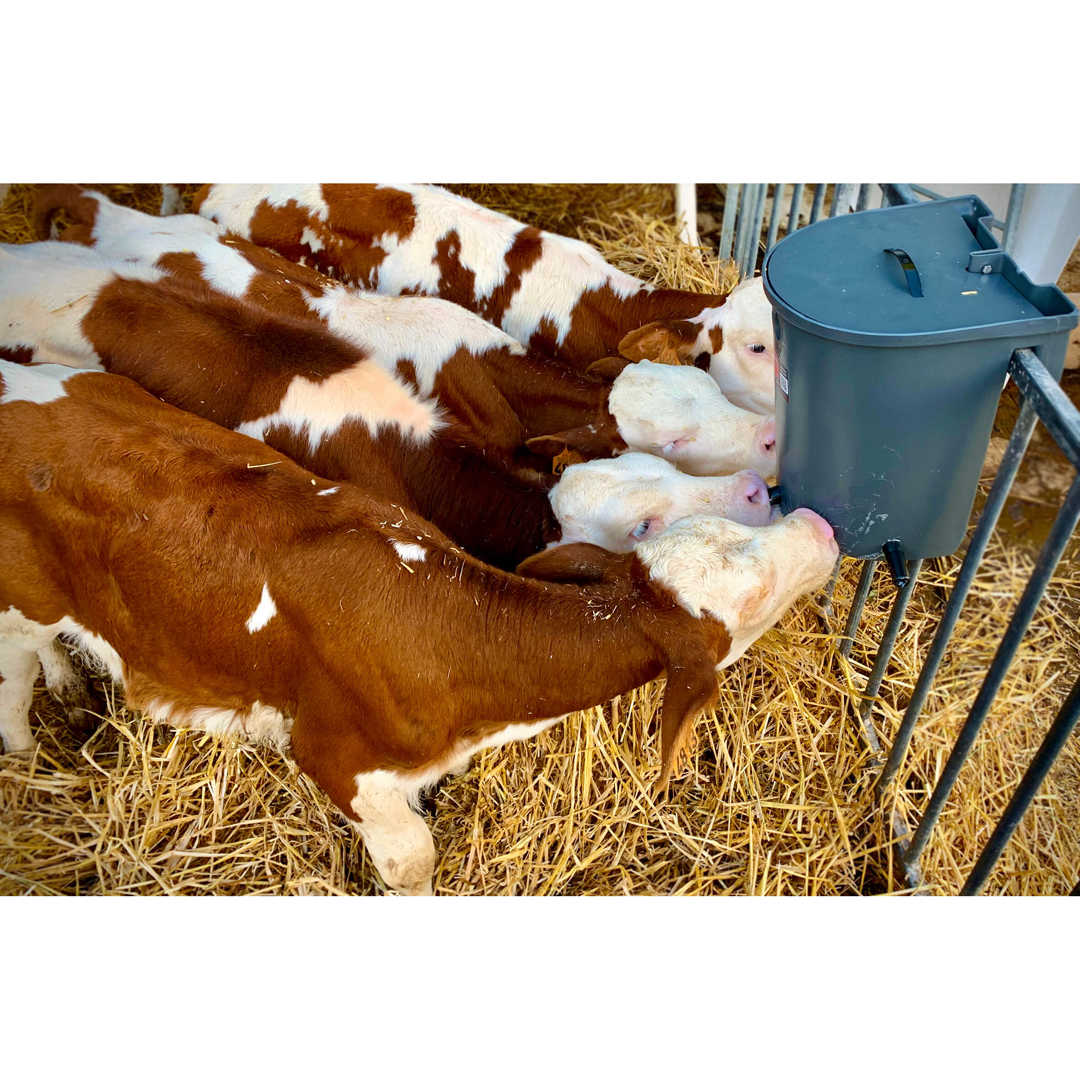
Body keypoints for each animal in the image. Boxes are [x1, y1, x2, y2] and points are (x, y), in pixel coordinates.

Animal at [0, 360, 838, 894]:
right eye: (756, 594)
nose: (818, 524)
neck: (457, 631)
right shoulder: (334, 755)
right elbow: (411, 864)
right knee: (11, 675)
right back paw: (28, 752)